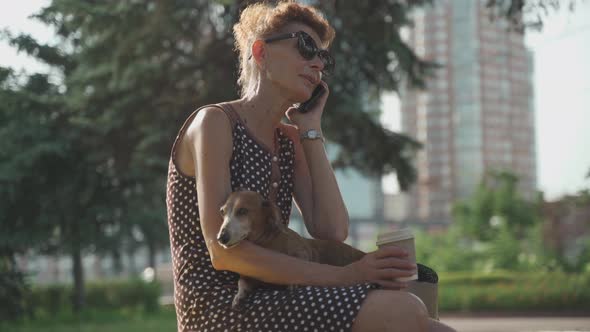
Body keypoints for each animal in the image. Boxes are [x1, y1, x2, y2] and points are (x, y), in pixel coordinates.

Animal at [217, 192, 366, 308]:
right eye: (222, 212)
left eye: (243, 210)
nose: (220, 238)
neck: (268, 242)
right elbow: (242, 281)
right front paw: (240, 294)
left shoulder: (302, 251)